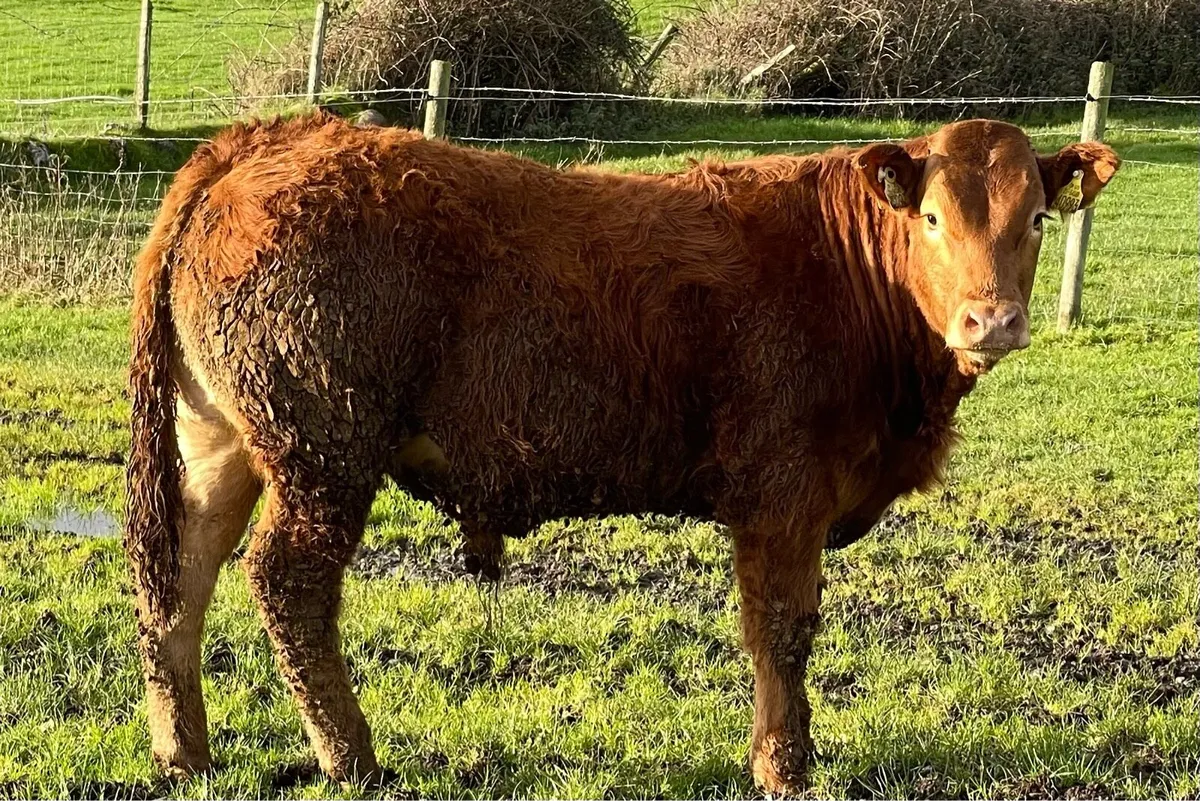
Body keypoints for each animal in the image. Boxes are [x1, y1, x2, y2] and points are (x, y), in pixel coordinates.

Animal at [124, 112, 1118, 795]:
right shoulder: (782, 494)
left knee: (181, 576)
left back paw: (186, 752)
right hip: (323, 450)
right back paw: (354, 758)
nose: (992, 320)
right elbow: (782, 632)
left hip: (220, 439)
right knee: (286, 582)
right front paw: (785, 765)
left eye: (1037, 217)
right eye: (936, 219)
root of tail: (269, 137)